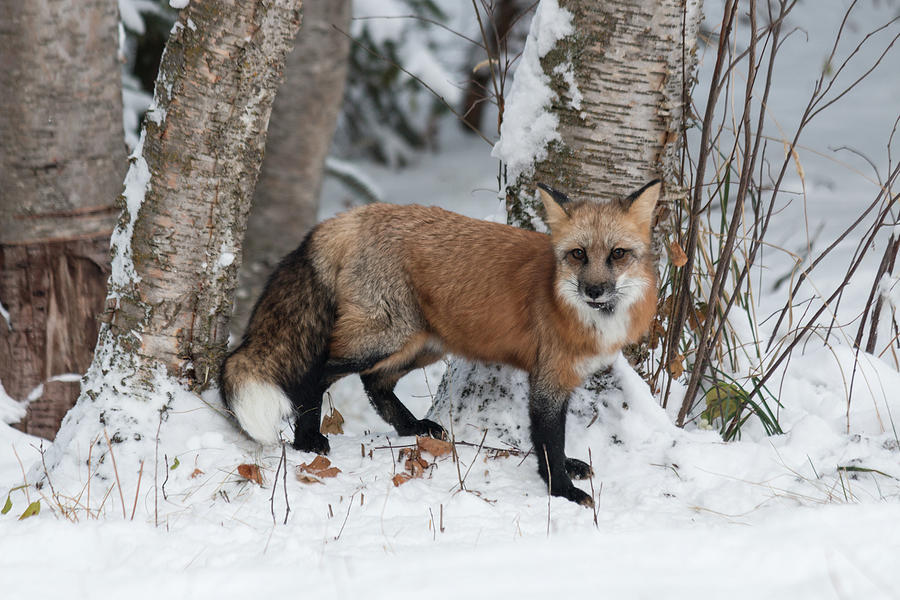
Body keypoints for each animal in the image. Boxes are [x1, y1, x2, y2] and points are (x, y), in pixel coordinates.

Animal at [223, 182, 660, 506]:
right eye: (578, 254)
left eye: (618, 254)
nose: (594, 290)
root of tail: (351, 216)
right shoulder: (548, 378)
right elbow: (548, 440)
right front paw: (562, 490)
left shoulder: (563, 379)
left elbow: (553, 439)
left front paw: (568, 469)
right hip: (385, 338)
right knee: (316, 375)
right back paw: (307, 441)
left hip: (424, 344)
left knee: (375, 383)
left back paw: (412, 427)